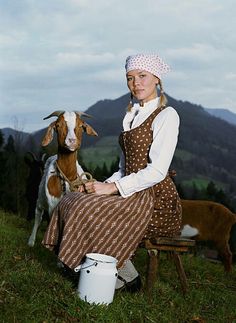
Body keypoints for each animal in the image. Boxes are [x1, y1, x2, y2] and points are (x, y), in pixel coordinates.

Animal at [27, 110, 97, 247]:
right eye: (58, 125)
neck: (67, 178)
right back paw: (31, 241)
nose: (72, 141)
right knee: (38, 215)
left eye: (81, 125)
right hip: (40, 199)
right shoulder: (52, 207)